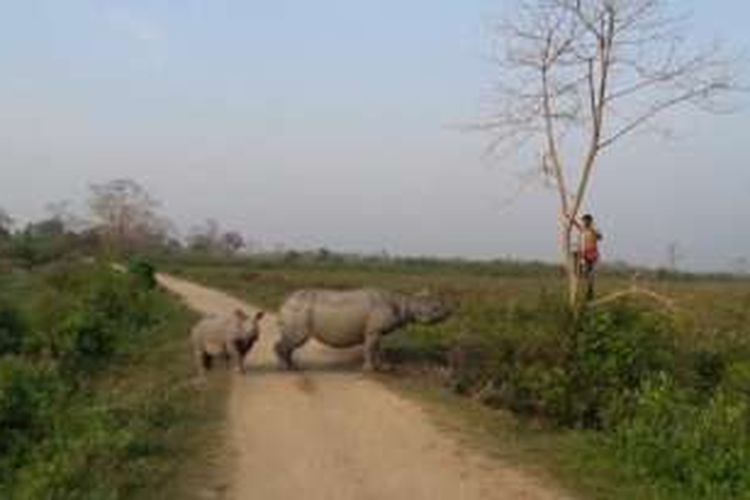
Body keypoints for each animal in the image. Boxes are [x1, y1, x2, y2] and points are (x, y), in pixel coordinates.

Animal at [276, 290, 452, 372]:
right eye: (435, 309)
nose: (449, 313)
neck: (406, 303)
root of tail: (285, 301)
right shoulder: (373, 330)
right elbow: (370, 348)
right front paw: (369, 369)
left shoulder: (377, 331)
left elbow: (379, 349)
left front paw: (385, 368)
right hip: (299, 309)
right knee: (295, 339)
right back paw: (286, 368)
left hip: (297, 308)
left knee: (290, 341)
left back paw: (292, 366)